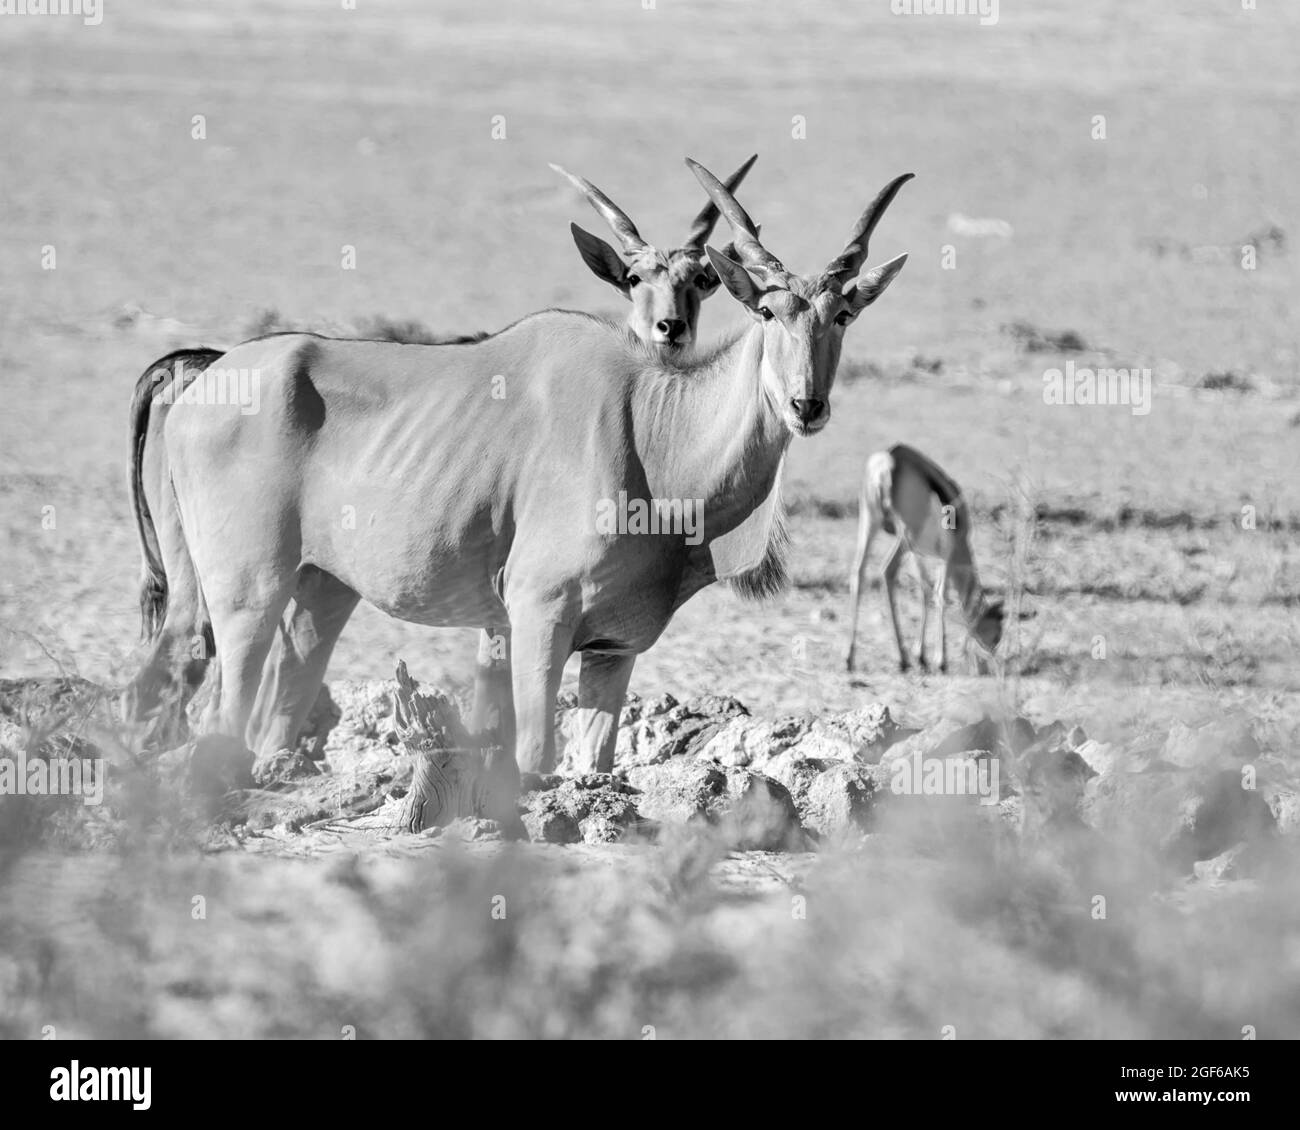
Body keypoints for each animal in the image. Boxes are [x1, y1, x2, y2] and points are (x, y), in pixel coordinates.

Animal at [126, 156, 909, 811]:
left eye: (843, 313)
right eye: (768, 311)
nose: (806, 405)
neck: (653, 430)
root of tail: (197, 378)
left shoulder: (611, 650)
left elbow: (595, 762)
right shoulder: (538, 614)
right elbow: (531, 757)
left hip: (320, 591)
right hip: (246, 596)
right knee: (207, 704)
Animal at [842, 439, 1003, 670]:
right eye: (997, 633)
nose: (993, 657)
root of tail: (890, 458)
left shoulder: (926, 554)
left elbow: (927, 590)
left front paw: (922, 654)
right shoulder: (948, 554)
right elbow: (938, 593)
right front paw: (938, 659)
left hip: (871, 523)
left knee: (861, 571)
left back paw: (855, 657)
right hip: (907, 536)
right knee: (890, 571)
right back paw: (903, 657)